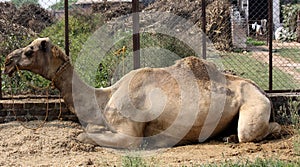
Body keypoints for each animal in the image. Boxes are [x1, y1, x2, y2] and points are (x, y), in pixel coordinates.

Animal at [4, 37, 282, 149]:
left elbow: (83, 136)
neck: (103, 98)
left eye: (29, 51)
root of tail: (262, 90)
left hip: (255, 104)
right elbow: (87, 131)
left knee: (254, 131)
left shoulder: (129, 134)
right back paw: (226, 137)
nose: (7, 60)